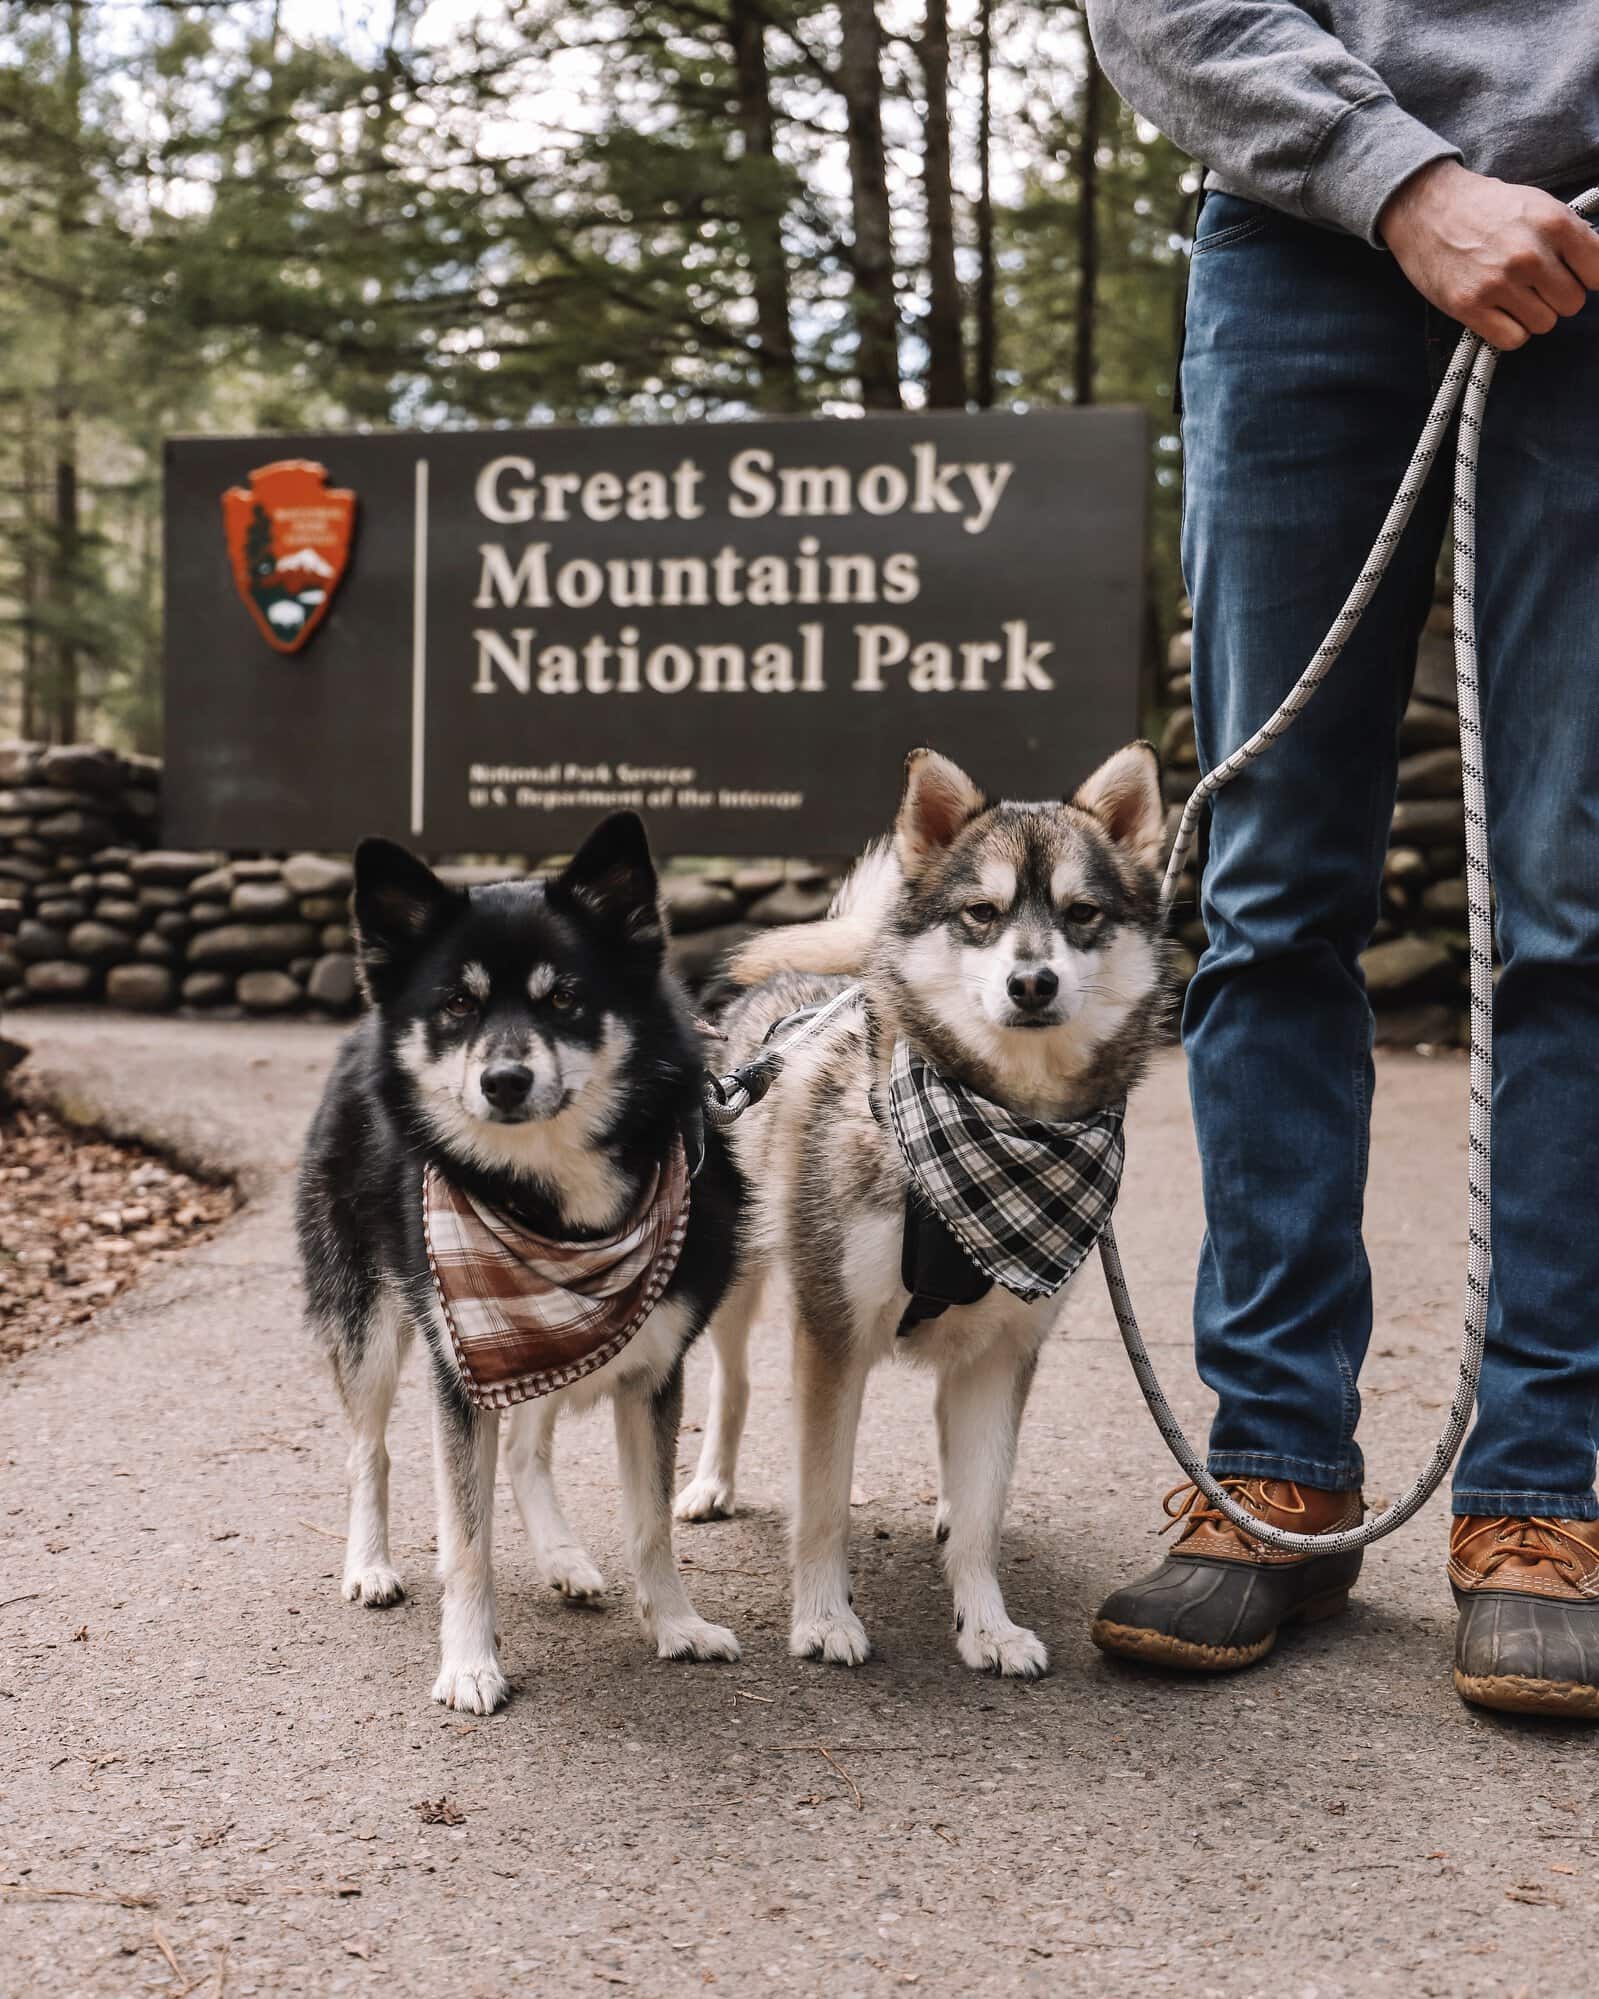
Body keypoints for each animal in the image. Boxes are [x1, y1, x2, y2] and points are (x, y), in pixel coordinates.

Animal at [295, 815, 747, 1719]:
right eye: (458, 1003)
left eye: (564, 996)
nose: (505, 1079)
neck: (550, 1201)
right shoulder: (464, 1369)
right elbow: (467, 1541)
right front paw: (470, 1663)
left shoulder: (651, 1371)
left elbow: (651, 1521)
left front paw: (676, 1624)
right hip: (369, 1319)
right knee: (370, 1449)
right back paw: (369, 1564)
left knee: (526, 1450)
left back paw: (563, 1557)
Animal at [679, 743, 1175, 1679]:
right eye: (980, 912)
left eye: (1081, 913)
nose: (1031, 980)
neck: (1000, 1131)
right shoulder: (831, 1336)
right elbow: (822, 1498)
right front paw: (823, 1617)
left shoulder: (1006, 1351)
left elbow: (984, 1511)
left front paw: (985, 1624)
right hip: (740, 1279)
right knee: (731, 1382)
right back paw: (710, 1482)